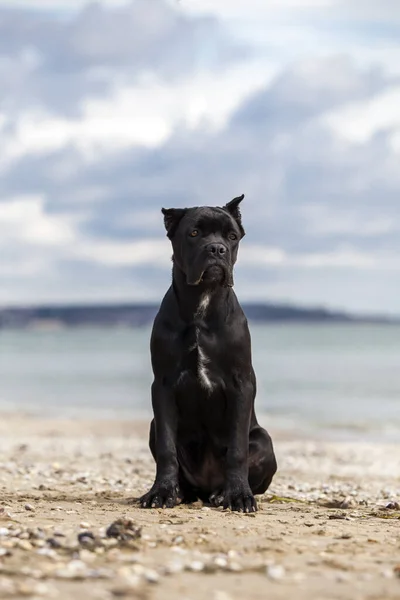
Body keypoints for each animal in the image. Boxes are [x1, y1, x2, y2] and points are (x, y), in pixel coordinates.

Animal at [141, 196, 278, 510]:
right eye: (194, 233)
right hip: (153, 425)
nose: (216, 249)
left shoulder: (241, 384)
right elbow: (167, 449)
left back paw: (224, 493)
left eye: (232, 236)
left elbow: (238, 449)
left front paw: (239, 495)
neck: (202, 303)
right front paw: (161, 492)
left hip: (264, 439)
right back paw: (181, 492)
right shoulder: (162, 385)